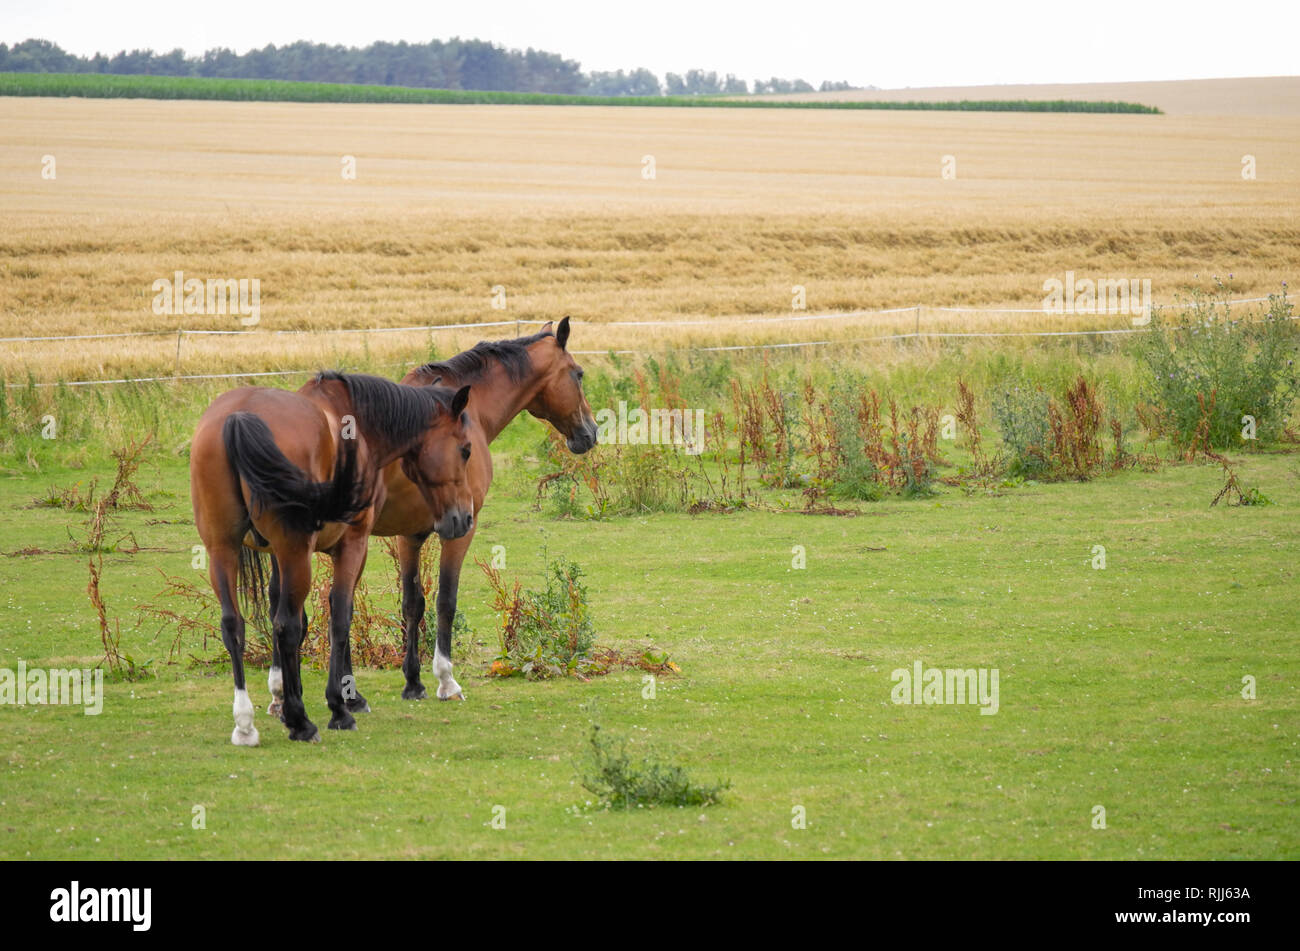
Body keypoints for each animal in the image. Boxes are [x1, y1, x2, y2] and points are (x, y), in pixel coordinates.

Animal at [189, 368, 475, 748]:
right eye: (465, 450)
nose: (464, 518)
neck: (359, 426)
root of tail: (238, 417)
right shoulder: (353, 543)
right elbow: (339, 615)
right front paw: (339, 706)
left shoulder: (278, 555)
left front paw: (285, 699)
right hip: (294, 551)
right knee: (286, 626)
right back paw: (302, 723)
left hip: (222, 550)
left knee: (233, 626)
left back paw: (245, 724)